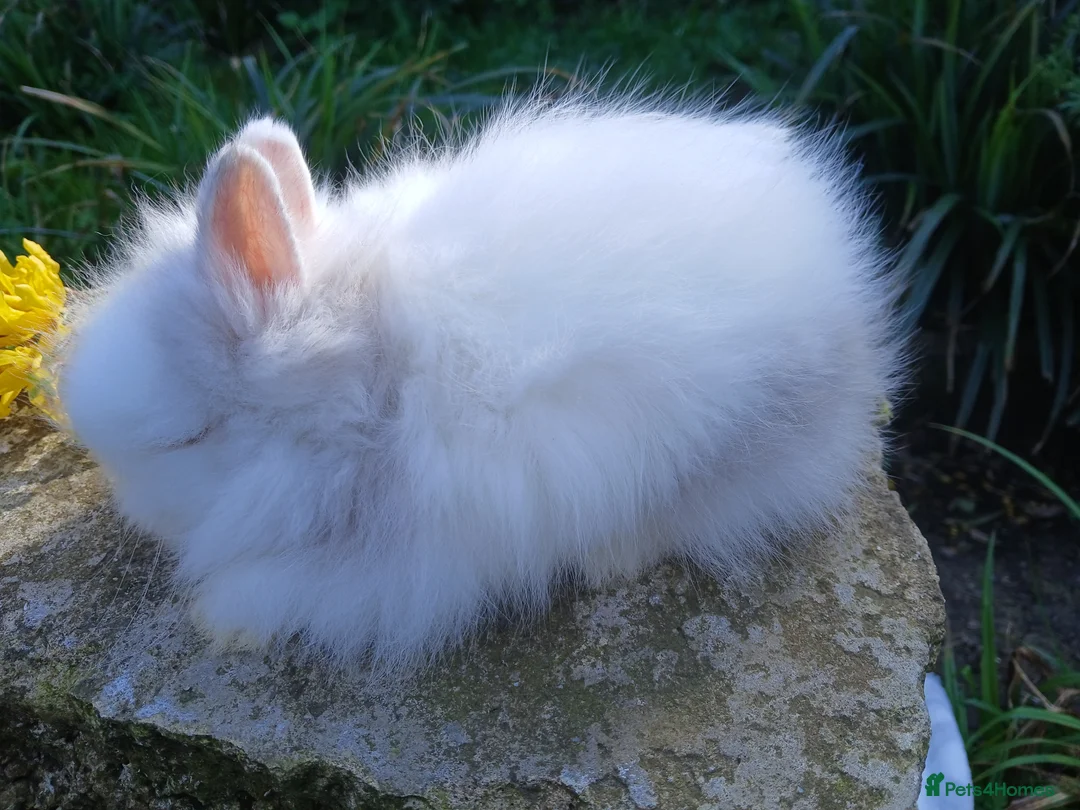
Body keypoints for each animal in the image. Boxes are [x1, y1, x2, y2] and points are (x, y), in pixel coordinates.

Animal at [51, 87, 909, 674]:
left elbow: (304, 590)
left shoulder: (414, 568)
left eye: (187, 439)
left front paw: (220, 620)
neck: (373, 388)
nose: (135, 514)